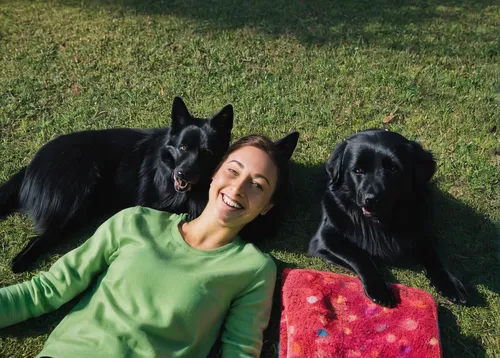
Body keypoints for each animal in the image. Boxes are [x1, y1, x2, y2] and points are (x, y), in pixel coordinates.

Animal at [0, 95, 234, 272]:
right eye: (183, 147)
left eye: (207, 153)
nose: (181, 175)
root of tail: (31, 165)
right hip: (75, 200)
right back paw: (20, 263)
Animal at [308, 129, 468, 308]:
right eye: (358, 170)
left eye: (393, 168)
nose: (371, 199)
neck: (381, 221)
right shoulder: (324, 239)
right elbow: (360, 256)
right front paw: (379, 289)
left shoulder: (421, 230)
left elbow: (432, 255)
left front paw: (449, 284)